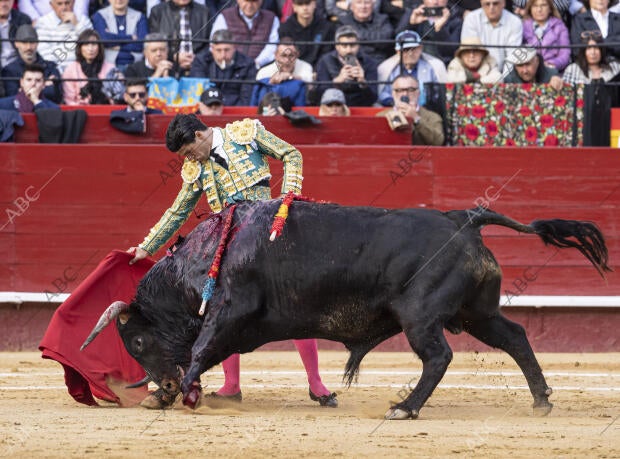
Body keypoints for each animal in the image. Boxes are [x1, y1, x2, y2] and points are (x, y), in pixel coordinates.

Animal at [80, 201, 608, 420]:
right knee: (516, 337)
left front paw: (174, 395)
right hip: (477, 313)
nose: (163, 385)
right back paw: (541, 400)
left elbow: (202, 349)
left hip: (421, 317)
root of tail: (464, 218)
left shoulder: (229, 311)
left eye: (138, 341)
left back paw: (405, 408)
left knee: (438, 357)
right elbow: (209, 352)